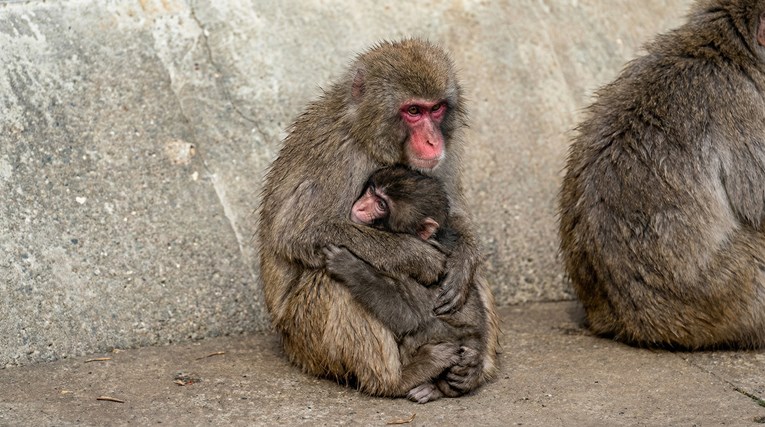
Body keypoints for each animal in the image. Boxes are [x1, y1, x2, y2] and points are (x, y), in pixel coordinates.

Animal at [322, 166, 500, 403]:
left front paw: (348, 265)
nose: (360, 206)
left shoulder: (418, 275)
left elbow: (409, 317)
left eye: (381, 205)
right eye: (371, 190)